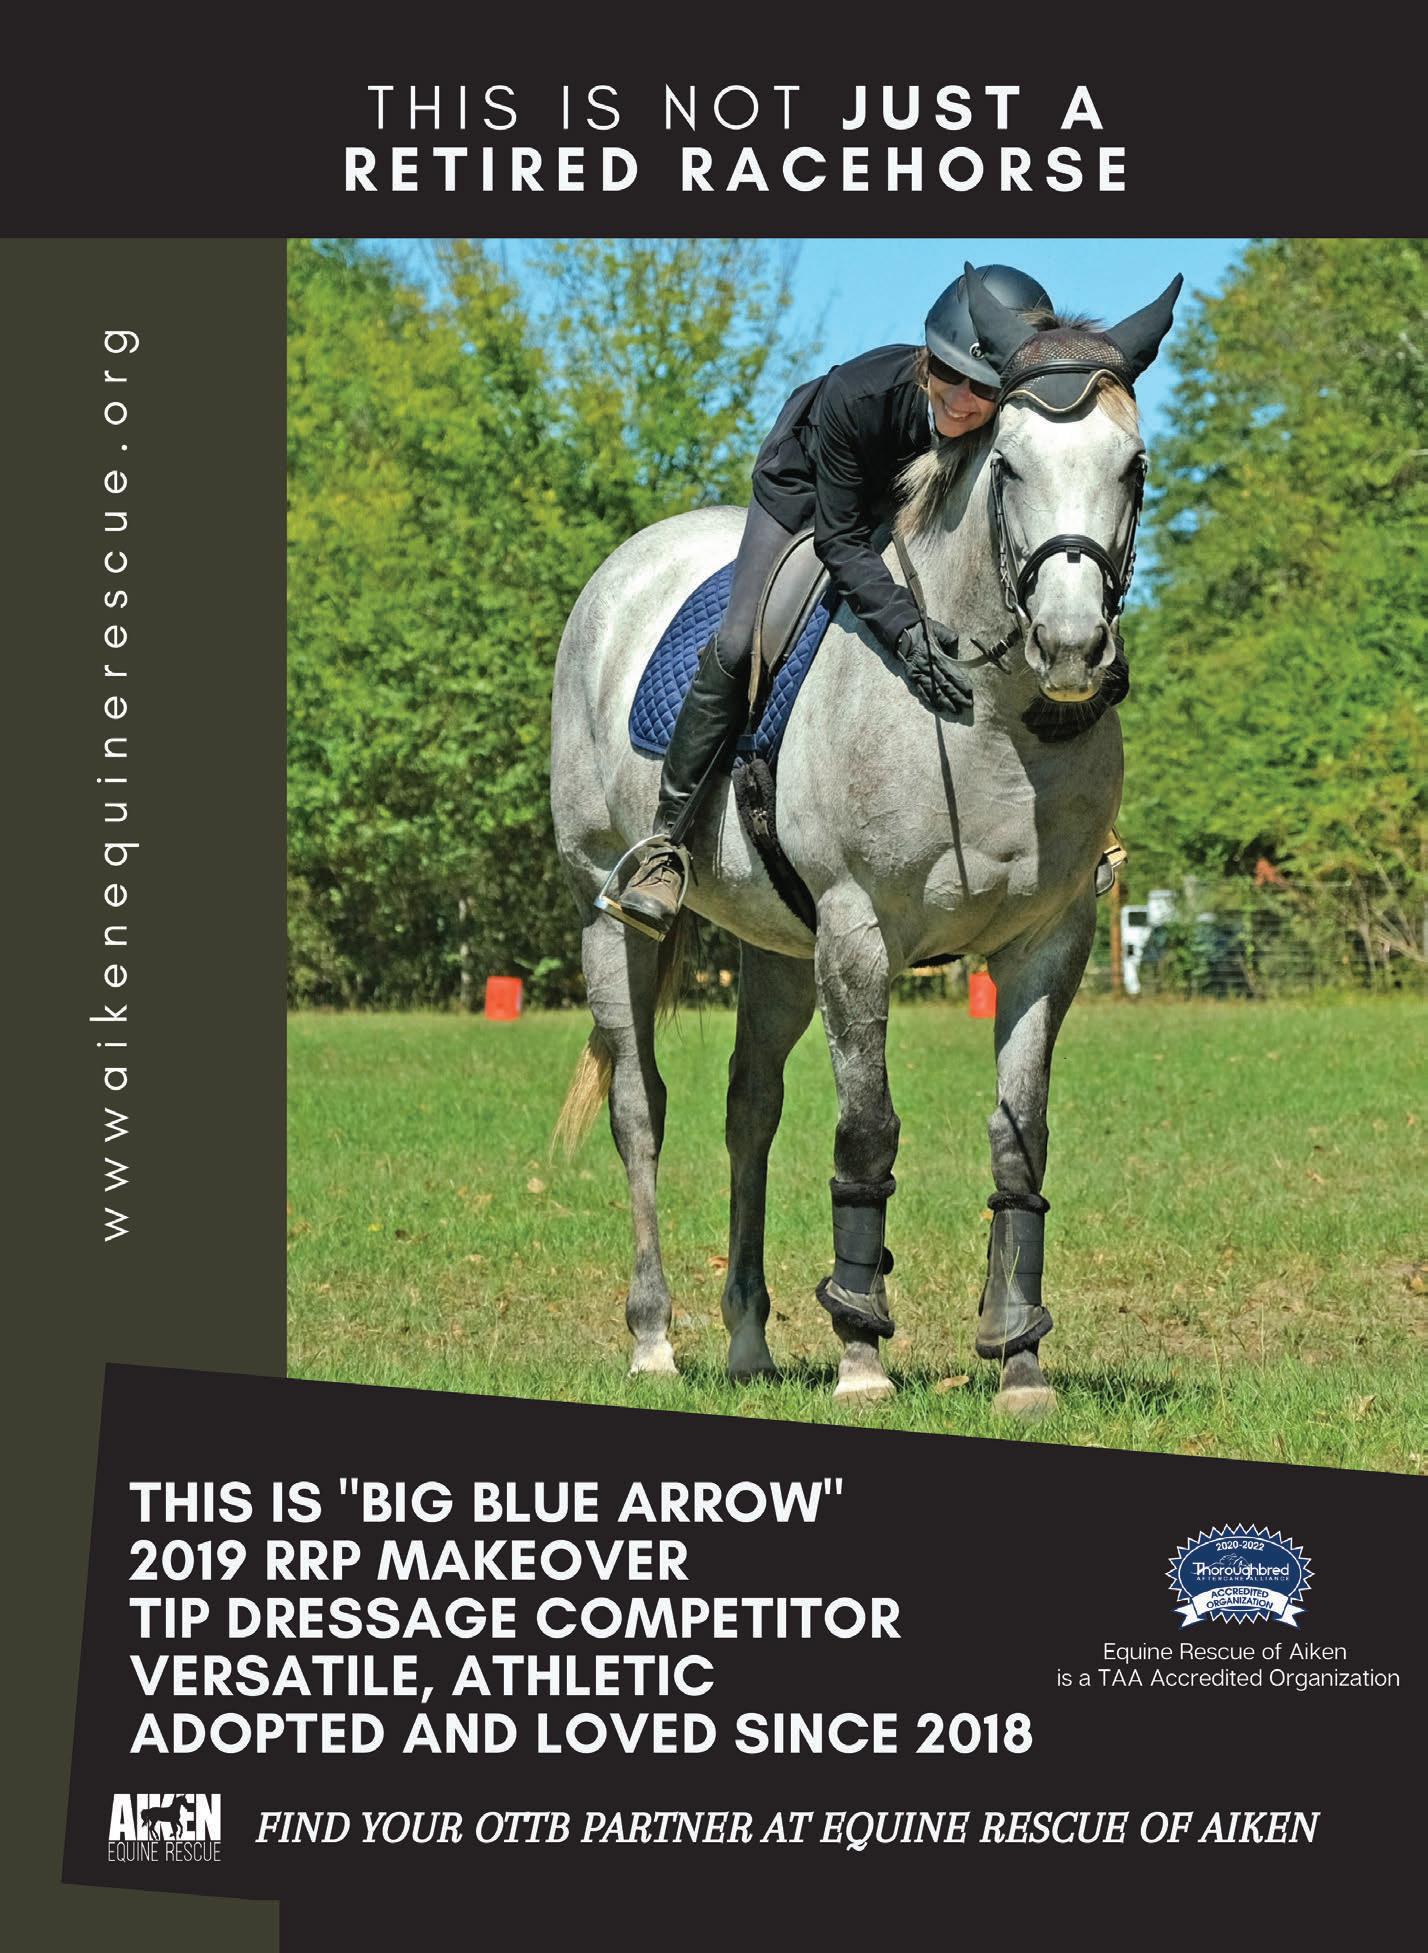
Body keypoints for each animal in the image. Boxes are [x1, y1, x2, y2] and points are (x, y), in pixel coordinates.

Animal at [549, 267, 1181, 1415]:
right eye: (1009, 467)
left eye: (1135, 465)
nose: (1072, 650)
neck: (993, 718)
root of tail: (629, 563)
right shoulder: (856, 936)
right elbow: (866, 1132)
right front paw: (861, 1354)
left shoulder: (1049, 944)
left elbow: (1020, 1141)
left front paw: (1019, 1358)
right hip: (606, 912)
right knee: (638, 1105)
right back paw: (655, 1337)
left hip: (774, 948)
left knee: (748, 1109)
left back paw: (748, 1341)